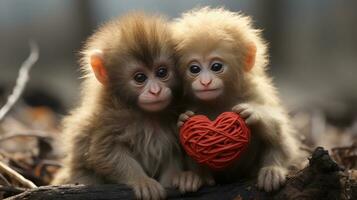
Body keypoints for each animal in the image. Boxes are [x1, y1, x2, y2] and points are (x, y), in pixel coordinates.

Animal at [50, 12, 200, 200]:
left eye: (162, 72)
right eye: (140, 78)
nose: (156, 91)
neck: (145, 115)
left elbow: (172, 153)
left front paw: (177, 178)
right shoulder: (107, 119)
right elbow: (105, 154)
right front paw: (142, 181)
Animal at [172, 7, 304, 192]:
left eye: (216, 67)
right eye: (194, 69)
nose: (205, 82)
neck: (219, 101)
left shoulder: (257, 92)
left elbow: (281, 135)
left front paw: (255, 114)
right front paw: (183, 120)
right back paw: (196, 177)